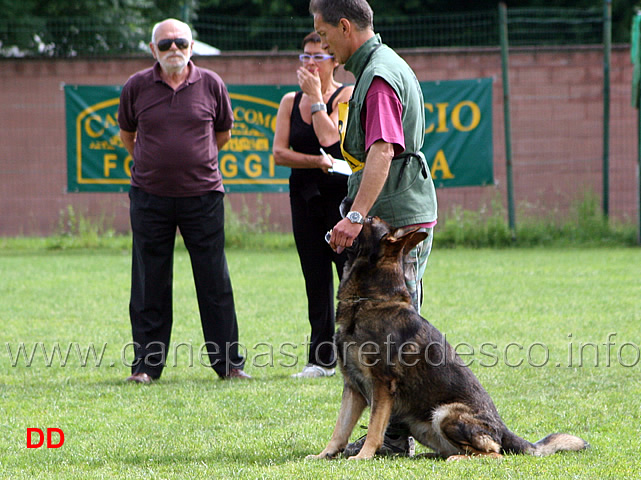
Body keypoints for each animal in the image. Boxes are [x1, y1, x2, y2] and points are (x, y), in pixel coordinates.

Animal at [308, 216, 588, 460]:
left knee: (493, 453)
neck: (369, 300)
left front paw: (363, 457)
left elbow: (374, 430)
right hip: (424, 424)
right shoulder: (353, 387)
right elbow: (340, 429)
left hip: (445, 413)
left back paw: (456, 459)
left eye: (365, 220)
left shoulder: (382, 386)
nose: (347, 208)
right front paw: (325, 455)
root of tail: (503, 429)